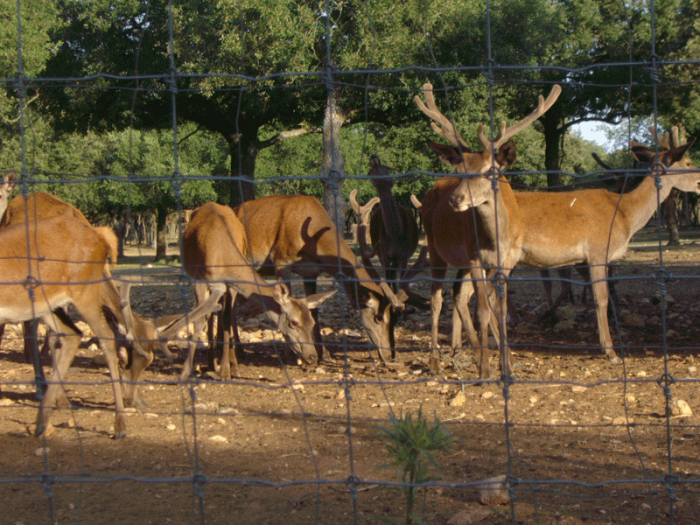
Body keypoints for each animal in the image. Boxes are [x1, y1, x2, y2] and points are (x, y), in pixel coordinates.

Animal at [176, 203, 338, 378]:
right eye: (294, 322)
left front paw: (227, 370)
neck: (221, 256)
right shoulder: (199, 279)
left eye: (312, 322)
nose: (312, 356)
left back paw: (219, 363)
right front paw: (185, 372)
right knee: (209, 315)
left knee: (217, 314)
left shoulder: (231, 285)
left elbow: (226, 319)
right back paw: (210, 362)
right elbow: (199, 320)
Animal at [232, 192, 404, 364]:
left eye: (395, 318)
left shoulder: (311, 272)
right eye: (379, 318)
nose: (390, 355)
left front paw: (324, 353)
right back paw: (239, 352)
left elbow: (314, 311)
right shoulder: (281, 259)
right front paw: (291, 355)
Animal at [412, 82, 560, 376]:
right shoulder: (475, 257)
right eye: (461, 169)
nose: (456, 199)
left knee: (460, 294)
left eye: (490, 170)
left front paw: (505, 366)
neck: (496, 239)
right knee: (437, 299)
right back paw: (436, 361)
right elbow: (482, 310)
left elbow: (497, 309)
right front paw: (485, 372)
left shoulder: (508, 261)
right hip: (434, 247)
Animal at [448, 117, 700, 372]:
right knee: (481, 296)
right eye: (688, 161)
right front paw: (611, 352)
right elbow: (601, 298)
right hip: (501, 256)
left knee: (464, 293)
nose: (699, 181)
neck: (625, 215)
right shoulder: (598, 250)